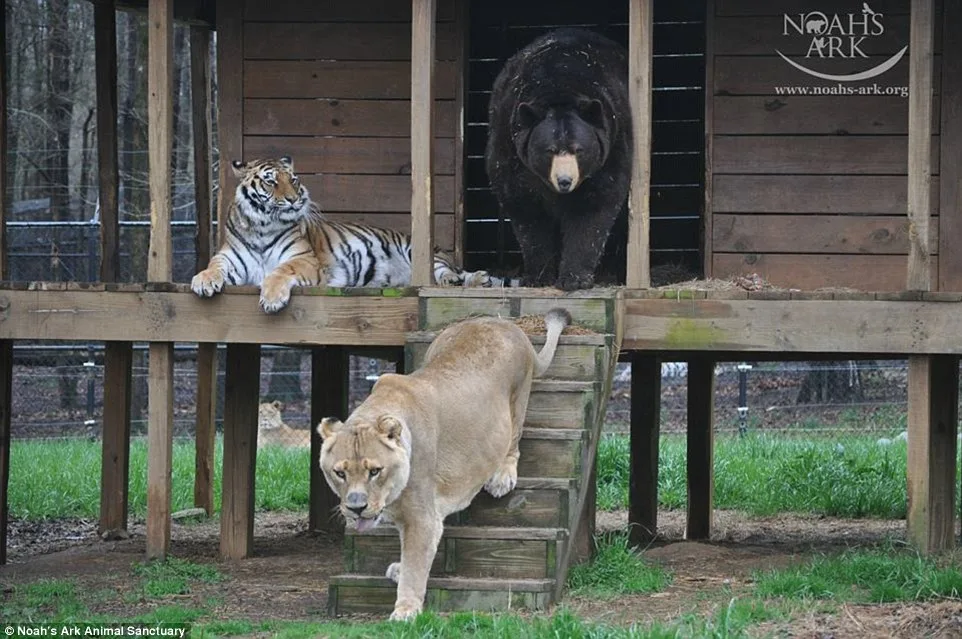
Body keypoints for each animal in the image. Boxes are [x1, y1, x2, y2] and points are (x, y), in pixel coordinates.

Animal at [190, 157, 517, 313]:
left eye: (293, 179)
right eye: (271, 182)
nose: (295, 199)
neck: (261, 226)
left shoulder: (305, 259)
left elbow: (280, 271)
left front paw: (271, 299)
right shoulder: (232, 258)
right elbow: (213, 266)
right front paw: (202, 281)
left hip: (419, 252)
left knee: (448, 275)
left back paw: (469, 280)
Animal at [318, 307, 571, 621]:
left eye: (374, 471)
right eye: (339, 473)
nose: (355, 507)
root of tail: (504, 323)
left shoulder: (422, 517)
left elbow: (415, 564)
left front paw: (405, 611)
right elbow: (410, 552)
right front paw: (400, 570)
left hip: (517, 401)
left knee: (514, 440)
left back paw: (502, 476)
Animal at [485, 27, 632, 291]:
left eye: (579, 149)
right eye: (550, 150)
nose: (565, 180)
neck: (558, 85)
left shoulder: (612, 143)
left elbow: (594, 206)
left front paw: (574, 278)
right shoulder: (509, 146)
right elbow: (525, 208)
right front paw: (538, 276)